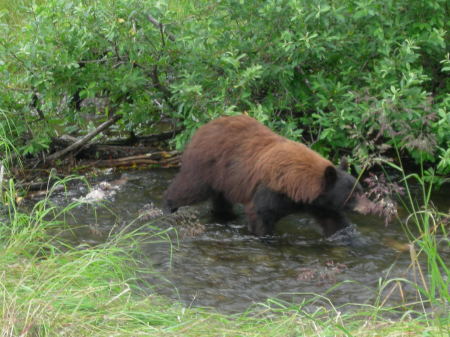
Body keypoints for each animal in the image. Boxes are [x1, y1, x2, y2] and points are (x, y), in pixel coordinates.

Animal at [165, 114, 376, 235]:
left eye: (361, 189)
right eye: (353, 195)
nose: (371, 208)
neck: (297, 185)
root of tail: (203, 127)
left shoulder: (319, 203)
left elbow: (335, 222)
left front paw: (351, 237)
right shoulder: (269, 191)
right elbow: (260, 214)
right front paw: (266, 237)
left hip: (225, 180)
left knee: (221, 200)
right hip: (207, 167)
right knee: (189, 188)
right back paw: (167, 208)